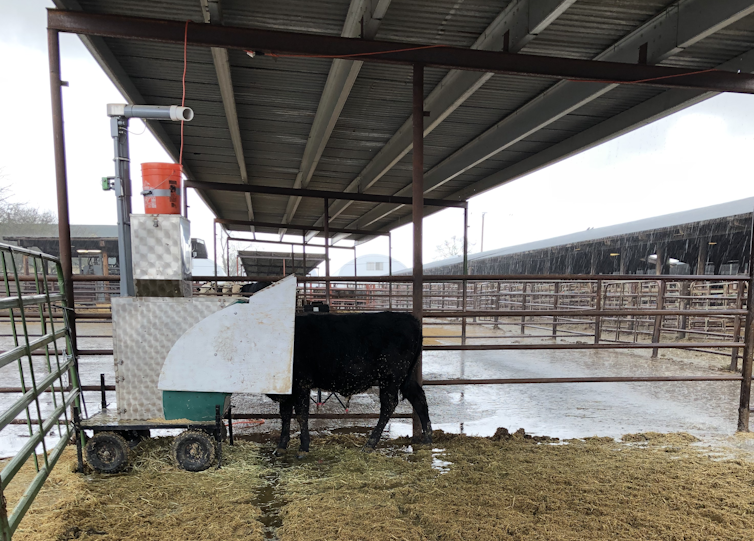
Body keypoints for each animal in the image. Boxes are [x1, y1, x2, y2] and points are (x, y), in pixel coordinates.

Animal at [268, 312, 432, 456]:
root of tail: (411, 319)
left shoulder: (301, 383)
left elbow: (301, 415)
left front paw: (303, 448)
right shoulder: (285, 389)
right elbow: (285, 414)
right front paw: (281, 447)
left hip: (390, 377)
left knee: (389, 404)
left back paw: (370, 444)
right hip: (405, 378)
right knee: (418, 398)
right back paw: (427, 438)